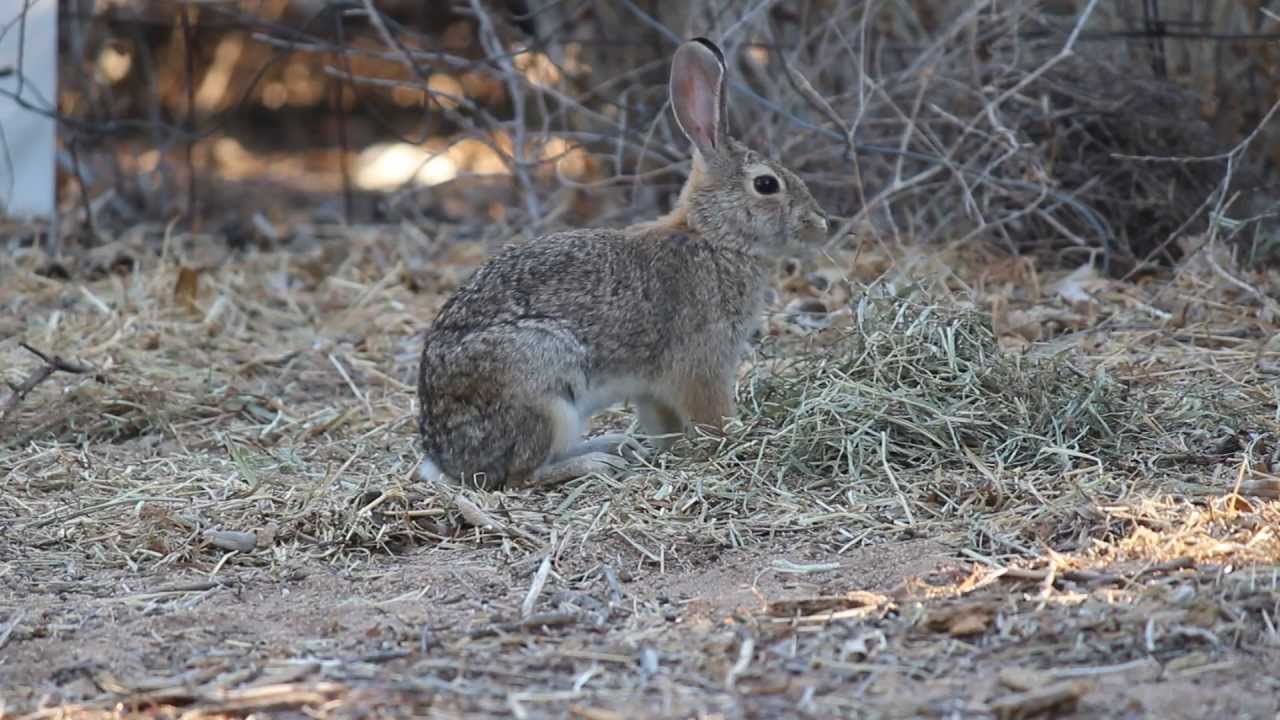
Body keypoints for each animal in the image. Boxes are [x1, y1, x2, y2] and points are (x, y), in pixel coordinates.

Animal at [417, 37, 829, 490]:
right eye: (767, 184)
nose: (820, 223)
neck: (713, 237)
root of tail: (446, 457)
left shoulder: (654, 388)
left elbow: (664, 422)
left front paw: (669, 449)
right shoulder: (704, 362)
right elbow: (711, 415)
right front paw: (737, 438)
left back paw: (615, 445)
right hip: (541, 383)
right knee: (520, 475)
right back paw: (595, 463)